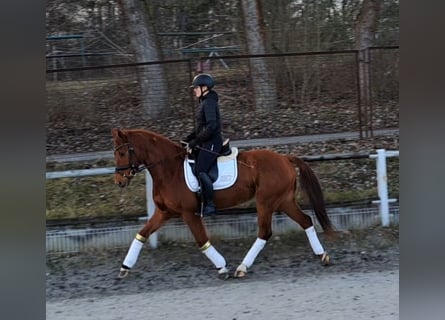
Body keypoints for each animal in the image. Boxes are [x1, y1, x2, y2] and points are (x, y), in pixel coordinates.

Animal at [111, 129, 332, 278]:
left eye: (122, 153)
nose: (119, 182)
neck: (169, 170)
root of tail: (285, 158)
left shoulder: (189, 213)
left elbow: (202, 241)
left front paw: (222, 267)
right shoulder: (164, 212)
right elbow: (142, 234)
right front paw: (124, 267)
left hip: (266, 202)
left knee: (265, 232)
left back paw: (242, 268)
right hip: (283, 201)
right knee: (306, 221)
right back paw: (322, 255)